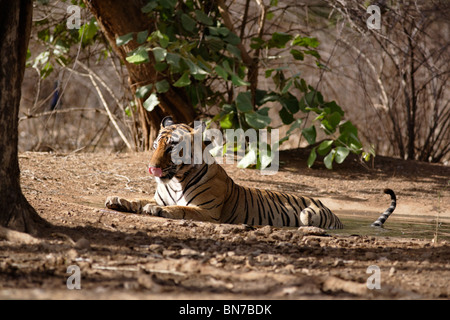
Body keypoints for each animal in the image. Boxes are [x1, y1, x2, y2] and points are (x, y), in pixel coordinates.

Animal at [103, 116, 396, 229]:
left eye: (173, 147)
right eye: (155, 146)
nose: (151, 167)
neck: (175, 180)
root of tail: (330, 208)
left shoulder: (207, 211)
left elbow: (179, 208)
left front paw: (156, 210)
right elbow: (138, 199)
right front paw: (117, 199)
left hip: (308, 213)